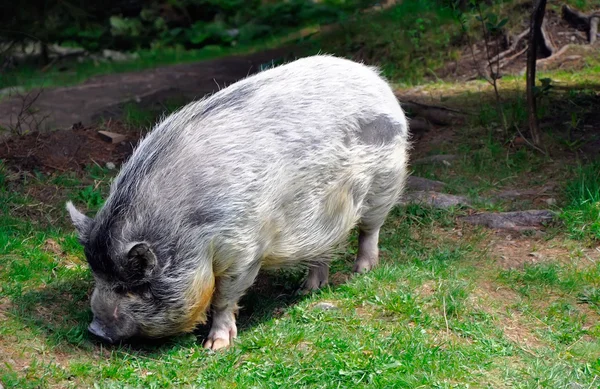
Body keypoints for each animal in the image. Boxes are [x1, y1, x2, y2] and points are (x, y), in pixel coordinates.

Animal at [68, 53, 410, 348]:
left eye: (133, 285)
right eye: (97, 275)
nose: (96, 331)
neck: (191, 228)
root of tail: (375, 78)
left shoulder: (244, 249)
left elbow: (224, 297)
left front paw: (215, 346)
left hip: (386, 179)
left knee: (370, 229)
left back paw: (363, 271)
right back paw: (307, 288)